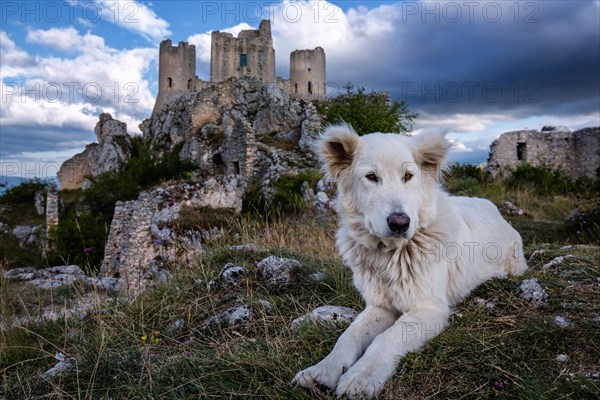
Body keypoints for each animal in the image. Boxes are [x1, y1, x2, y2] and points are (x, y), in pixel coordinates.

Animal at [292, 124, 528, 396]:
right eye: (371, 177)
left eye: (408, 176)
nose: (399, 223)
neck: (391, 254)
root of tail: (493, 207)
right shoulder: (379, 306)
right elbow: (349, 335)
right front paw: (322, 370)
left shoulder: (429, 310)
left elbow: (387, 338)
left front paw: (361, 377)